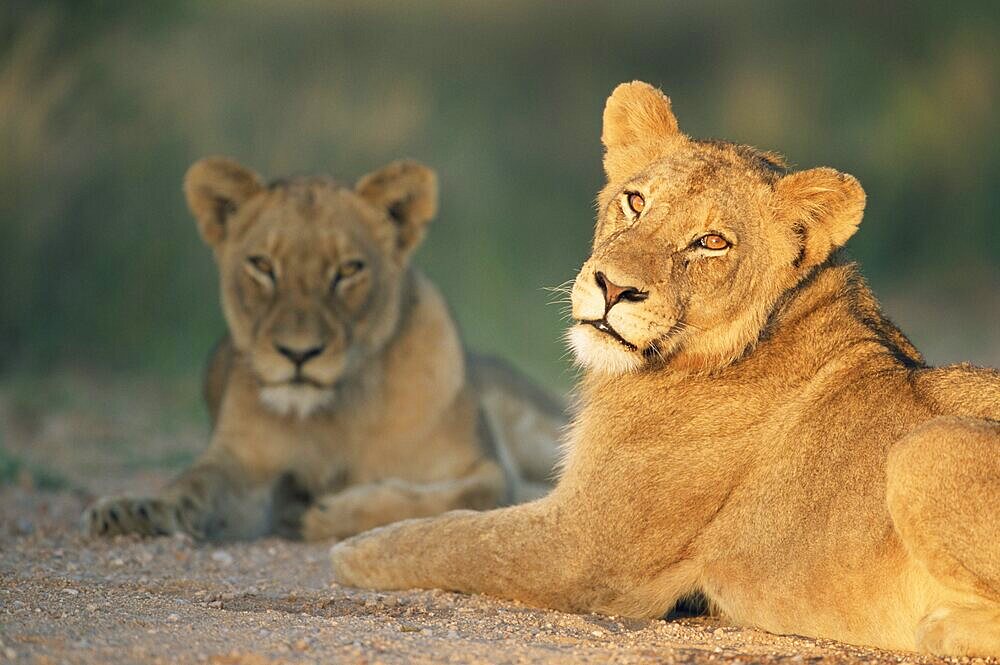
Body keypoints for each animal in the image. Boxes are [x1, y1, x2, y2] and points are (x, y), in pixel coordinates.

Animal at [80, 158, 564, 544]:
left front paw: (323, 514)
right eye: (262, 265)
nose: (298, 354)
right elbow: (193, 484)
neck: (337, 410)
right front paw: (135, 510)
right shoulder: (244, 464)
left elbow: (454, 496)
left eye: (348, 270)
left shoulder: (482, 467)